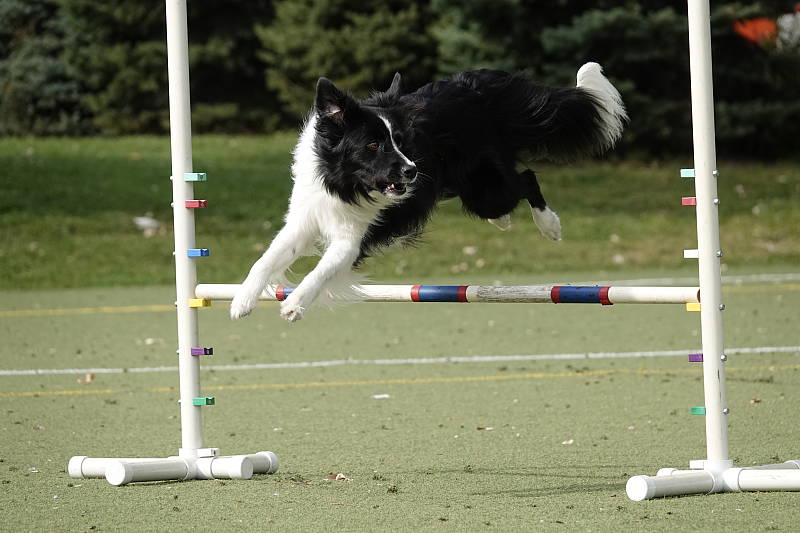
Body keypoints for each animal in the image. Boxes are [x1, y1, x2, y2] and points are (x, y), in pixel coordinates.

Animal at [230, 62, 627, 322]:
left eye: (400, 141)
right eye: (373, 144)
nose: (412, 170)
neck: (344, 182)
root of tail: (478, 85)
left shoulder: (351, 240)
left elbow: (322, 270)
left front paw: (295, 304)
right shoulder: (305, 219)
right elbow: (265, 258)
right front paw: (242, 300)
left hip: (486, 187)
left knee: (526, 177)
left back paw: (550, 226)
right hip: (473, 189)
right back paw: (505, 223)